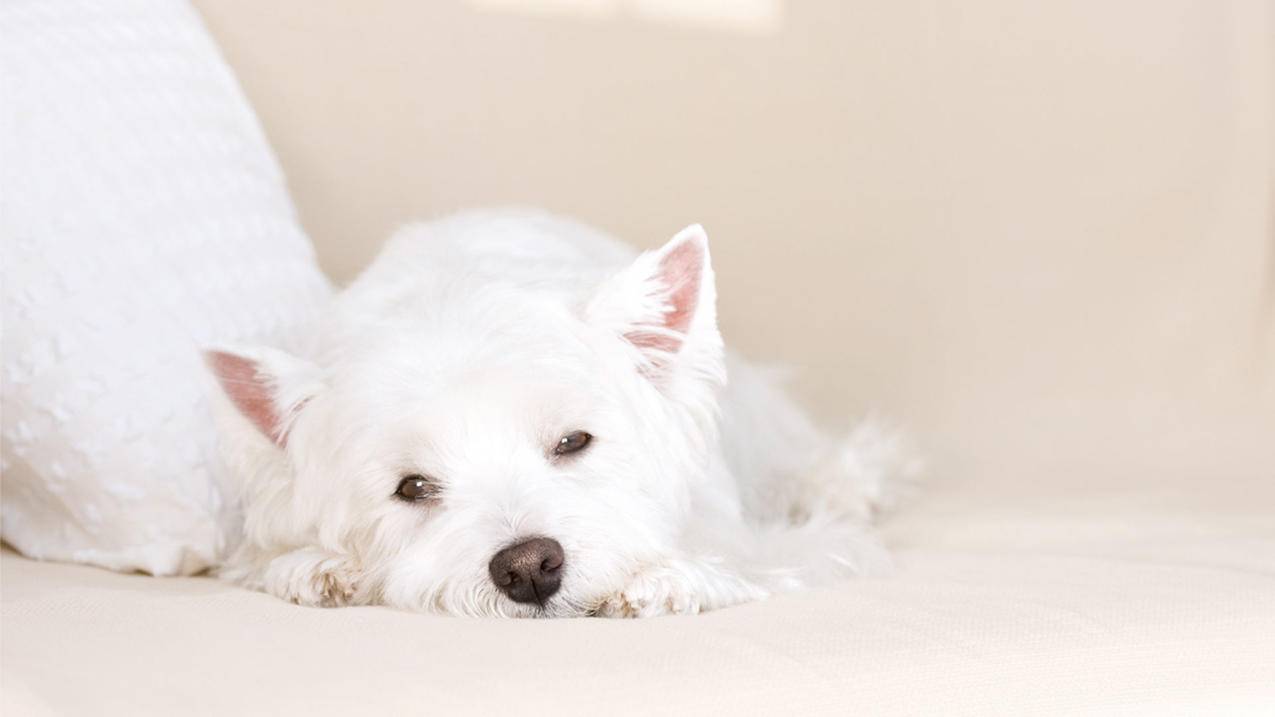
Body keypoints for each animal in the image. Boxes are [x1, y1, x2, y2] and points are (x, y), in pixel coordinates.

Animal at [211, 207, 928, 614]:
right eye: (411, 487)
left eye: (572, 441)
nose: (528, 567)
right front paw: (315, 567)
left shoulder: (769, 536)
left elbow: (749, 553)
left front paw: (670, 578)